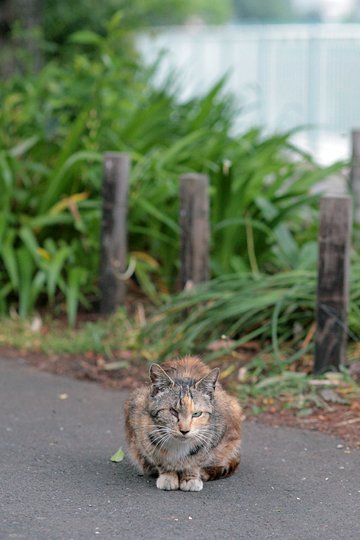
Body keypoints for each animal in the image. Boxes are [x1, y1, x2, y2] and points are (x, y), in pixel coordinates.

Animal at [124, 356, 242, 492]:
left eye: (196, 414)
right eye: (173, 411)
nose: (184, 430)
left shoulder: (214, 433)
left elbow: (198, 458)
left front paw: (190, 478)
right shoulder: (141, 427)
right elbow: (159, 457)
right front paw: (168, 476)